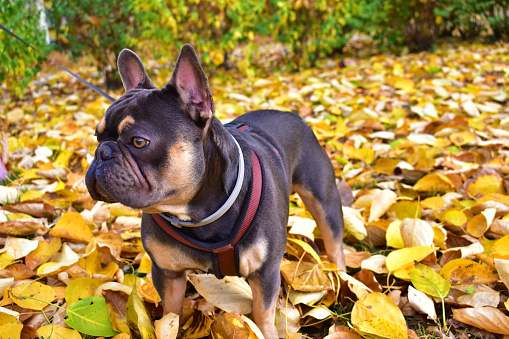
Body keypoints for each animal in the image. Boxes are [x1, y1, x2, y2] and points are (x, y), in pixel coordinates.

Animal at [86, 43, 346, 338]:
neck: (198, 214)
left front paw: (265, 331)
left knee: (334, 242)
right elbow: (171, 315)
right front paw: (170, 327)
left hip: (323, 201)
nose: (102, 153)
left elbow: (262, 314)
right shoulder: (168, 274)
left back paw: (341, 275)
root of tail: (289, 114)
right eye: (97, 137)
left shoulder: (265, 273)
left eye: (139, 142)